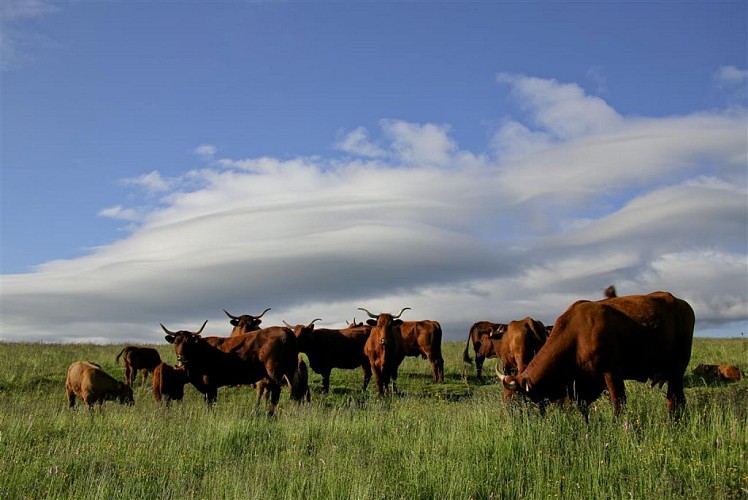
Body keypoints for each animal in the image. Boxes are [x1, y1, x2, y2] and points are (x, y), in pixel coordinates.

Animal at [162, 320, 300, 414]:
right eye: (176, 342)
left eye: (188, 342)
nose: (181, 357)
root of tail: (284, 330)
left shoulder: (210, 385)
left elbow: (210, 404)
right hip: (290, 369)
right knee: (294, 390)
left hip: (274, 371)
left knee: (276, 392)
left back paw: (271, 414)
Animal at [500, 292, 700, 420]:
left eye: (516, 399)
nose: (508, 420)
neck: (577, 334)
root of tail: (683, 304)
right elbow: (583, 408)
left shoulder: (611, 373)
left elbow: (618, 404)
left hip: (677, 369)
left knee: (674, 399)